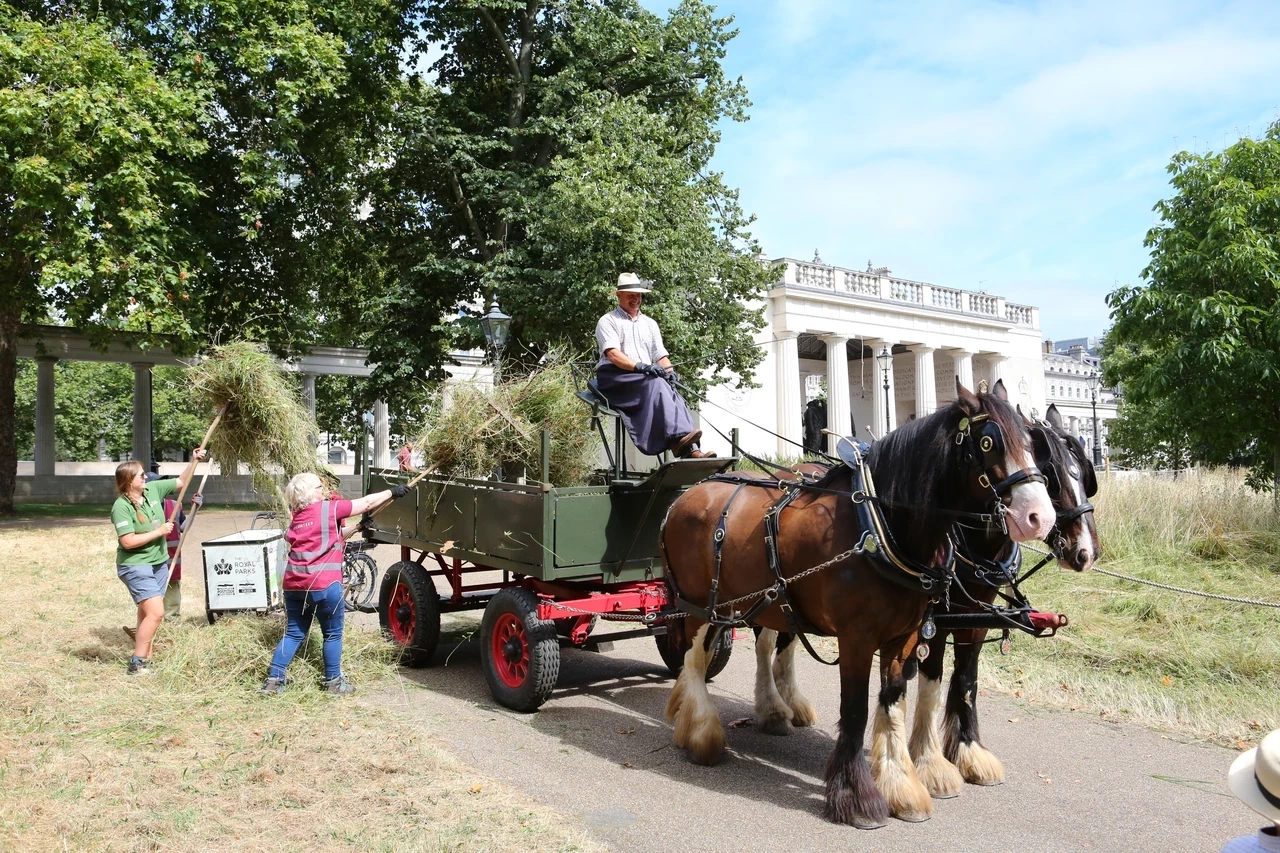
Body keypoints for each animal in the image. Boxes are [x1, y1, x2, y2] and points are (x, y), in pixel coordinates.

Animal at [660, 379, 1049, 824]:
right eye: (987, 443)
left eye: (1033, 444)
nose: (1040, 517)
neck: (881, 525)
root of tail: (685, 496)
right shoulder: (857, 638)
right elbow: (856, 710)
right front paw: (856, 796)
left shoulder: (907, 636)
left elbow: (893, 703)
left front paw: (901, 784)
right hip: (701, 605)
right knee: (694, 659)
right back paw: (701, 732)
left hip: (757, 602)